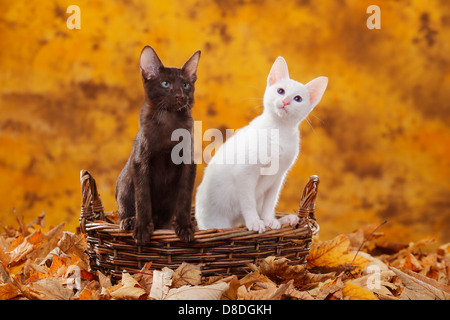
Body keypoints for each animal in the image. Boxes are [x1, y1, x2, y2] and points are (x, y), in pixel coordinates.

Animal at [116, 46, 200, 244]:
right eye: (165, 84)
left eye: (186, 85)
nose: (180, 96)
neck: (168, 120)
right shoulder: (140, 163)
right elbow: (143, 198)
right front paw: (142, 229)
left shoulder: (188, 164)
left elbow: (185, 198)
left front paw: (185, 227)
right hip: (124, 185)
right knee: (124, 209)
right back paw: (129, 221)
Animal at [193, 57, 326, 232]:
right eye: (280, 91)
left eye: (298, 99)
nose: (285, 101)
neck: (279, 130)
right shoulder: (244, 172)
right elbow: (248, 202)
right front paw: (255, 222)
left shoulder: (278, 177)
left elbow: (270, 203)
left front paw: (269, 220)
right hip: (217, 219)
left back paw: (287, 219)